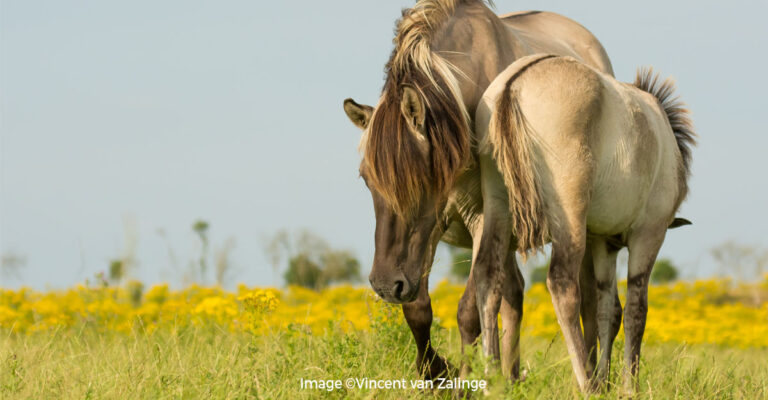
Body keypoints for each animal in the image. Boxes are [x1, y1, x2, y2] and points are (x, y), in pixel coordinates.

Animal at [342, 0, 615, 382]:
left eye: (422, 178)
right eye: (366, 179)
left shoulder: (481, 219)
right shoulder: (431, 229)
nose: (384, 285)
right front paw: (435, 372)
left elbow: (468, 310)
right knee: (513, 295)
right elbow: (418, 309)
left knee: (589, 302)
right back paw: (509, 376)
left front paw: (463, 379)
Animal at [473, 54, 695, 393]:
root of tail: (514, 85)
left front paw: (607, 381)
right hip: (569, 219)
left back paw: (491, 379)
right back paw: (586, 382)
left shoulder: (604, 244)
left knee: (487, 276)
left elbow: (608, 311)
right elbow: (635, 310)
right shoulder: (649, 235)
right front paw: (628, 386)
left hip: (497, 206)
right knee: (562, 284)